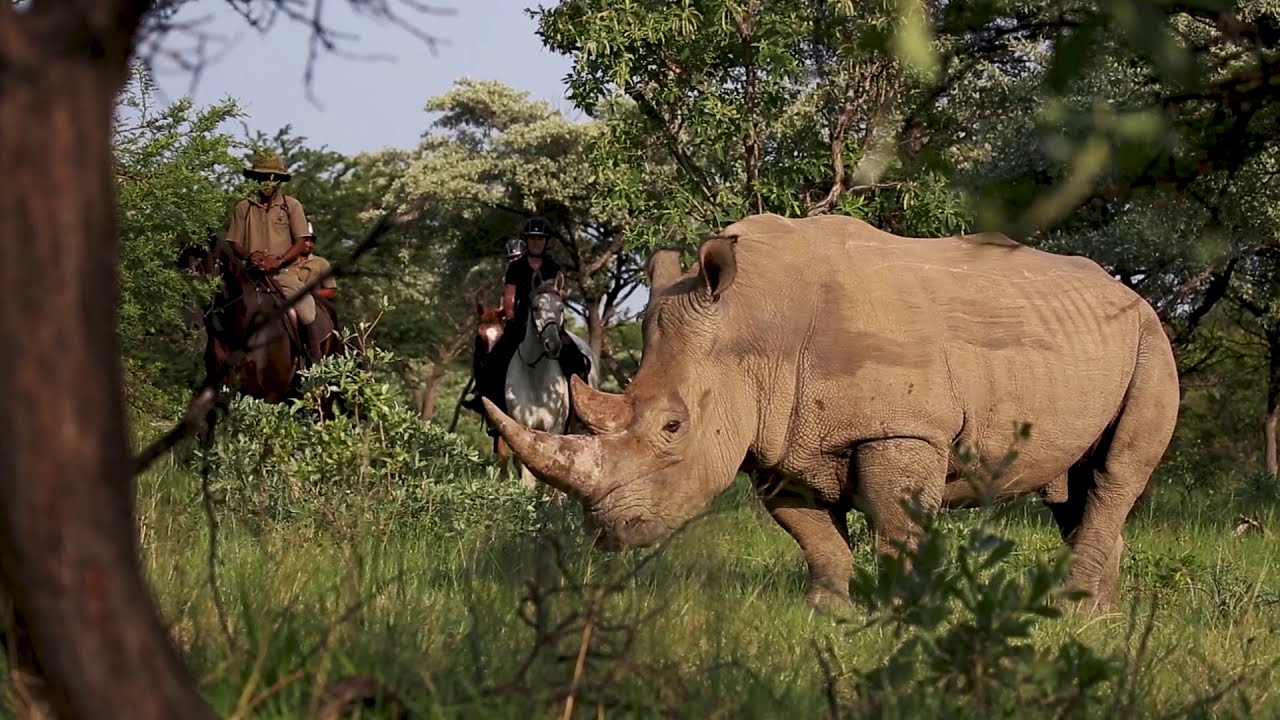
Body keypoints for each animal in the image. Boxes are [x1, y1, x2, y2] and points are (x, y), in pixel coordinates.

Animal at [502, 276, 600, 490]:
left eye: (561, 308)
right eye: (536, 307)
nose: (553, 346)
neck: (536, 379)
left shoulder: (554, 429)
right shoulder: (522, 427)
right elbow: (528, 474)